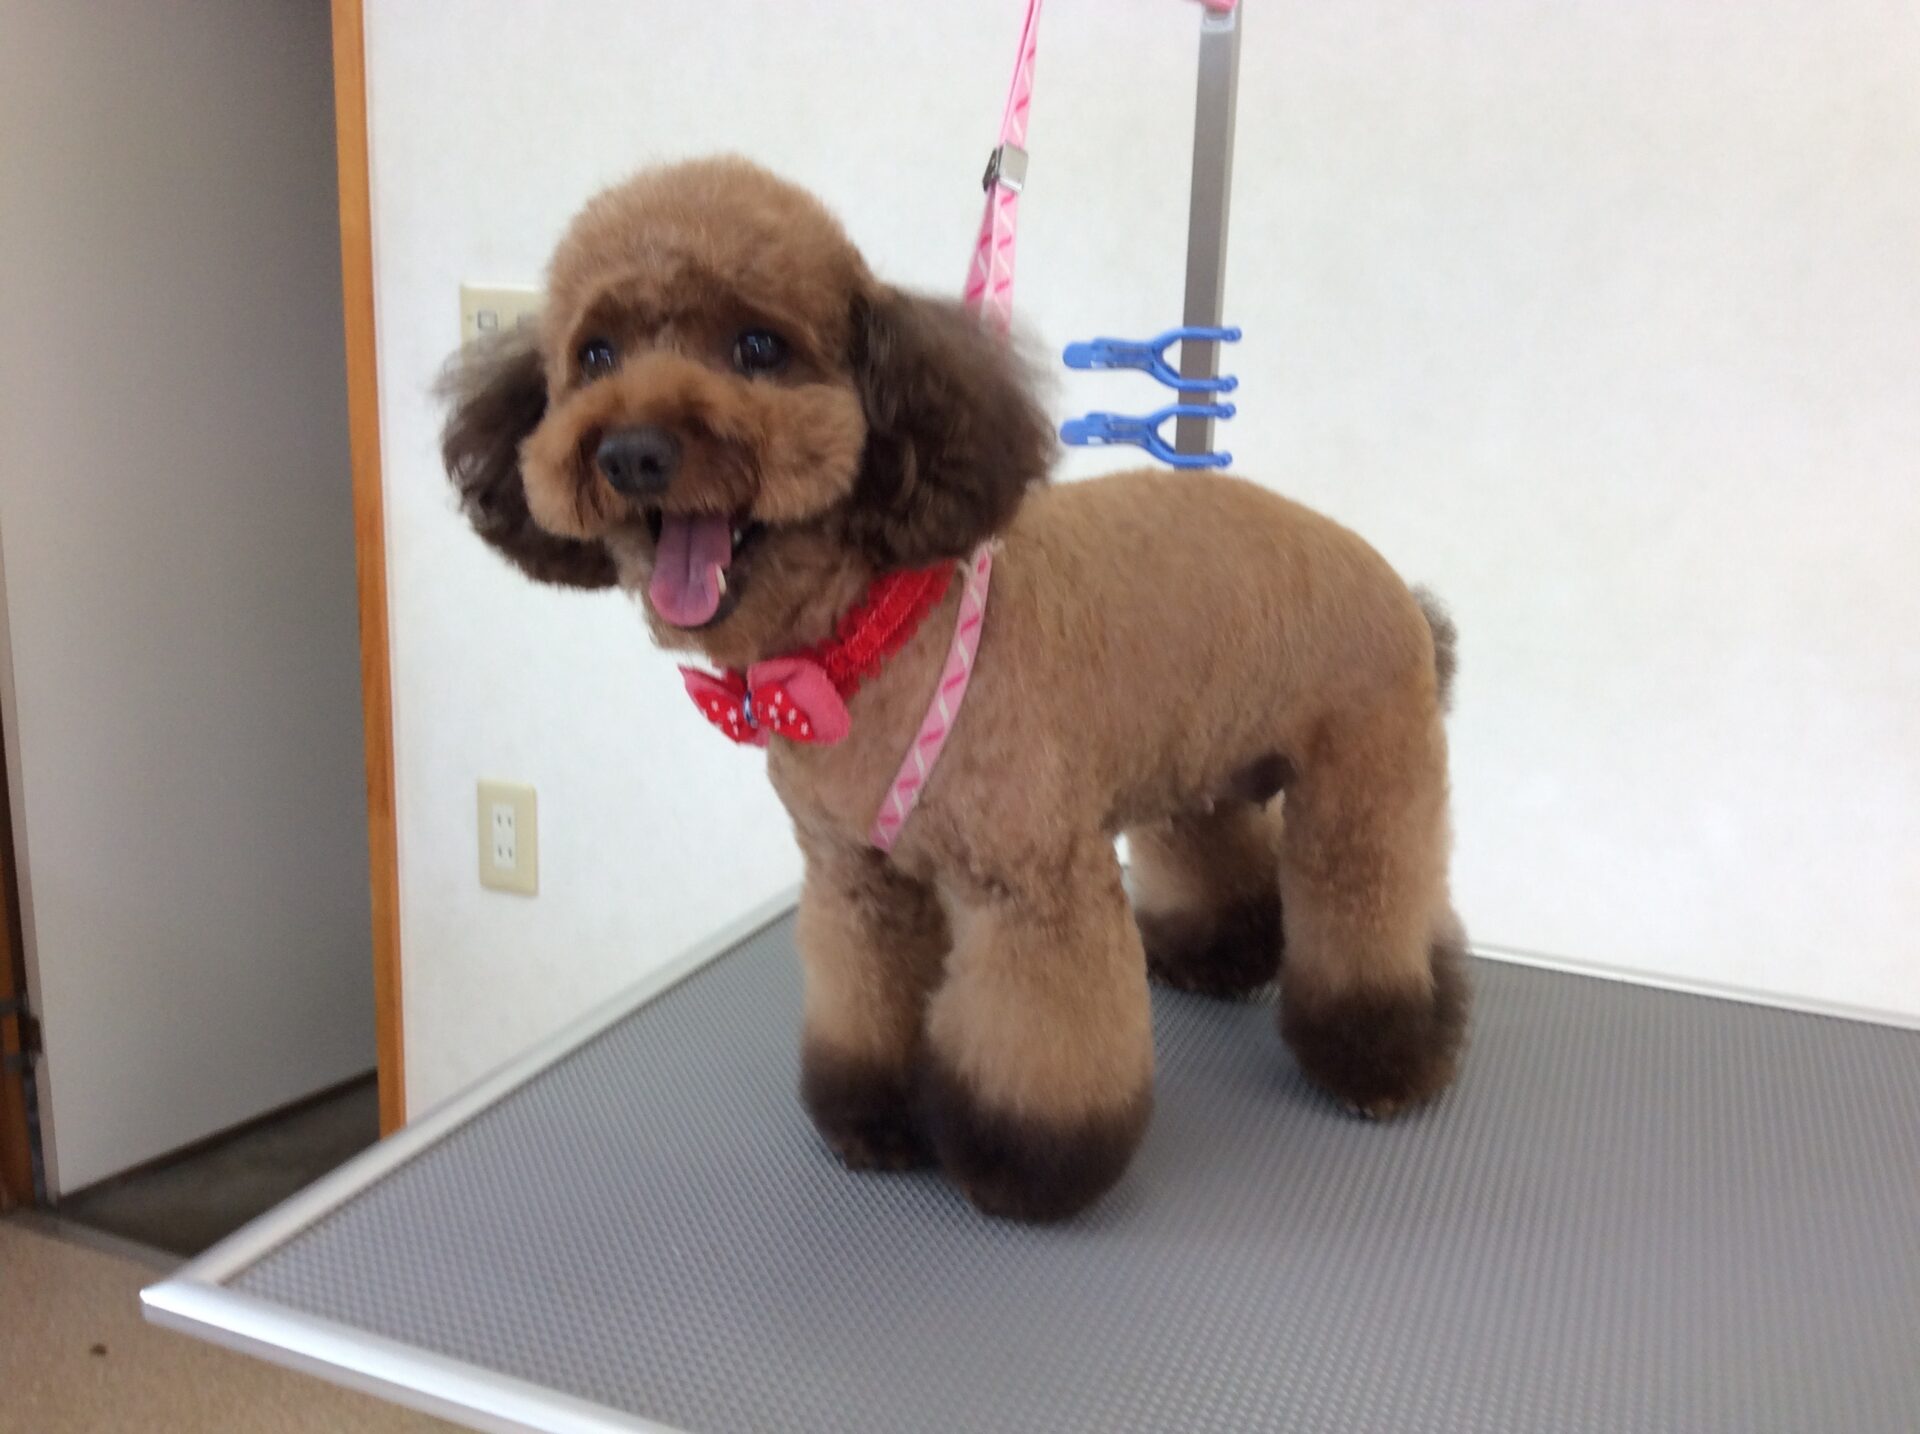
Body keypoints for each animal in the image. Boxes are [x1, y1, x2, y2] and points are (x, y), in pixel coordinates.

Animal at [441, 156, 1467, 1223]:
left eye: (758, 346)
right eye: (595, 356)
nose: (633, 451)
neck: (871, 640)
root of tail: (1401, 590)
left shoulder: (1031, 888)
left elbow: (1042, 1047)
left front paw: (1026, 1166)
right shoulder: (857, 879)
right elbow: (870, 1004)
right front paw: (877, 1121)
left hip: (1365, 787)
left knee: (1380, 911)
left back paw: (1388, 1052)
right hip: (1200, 766)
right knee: (1221, 850)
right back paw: (1219, 952)